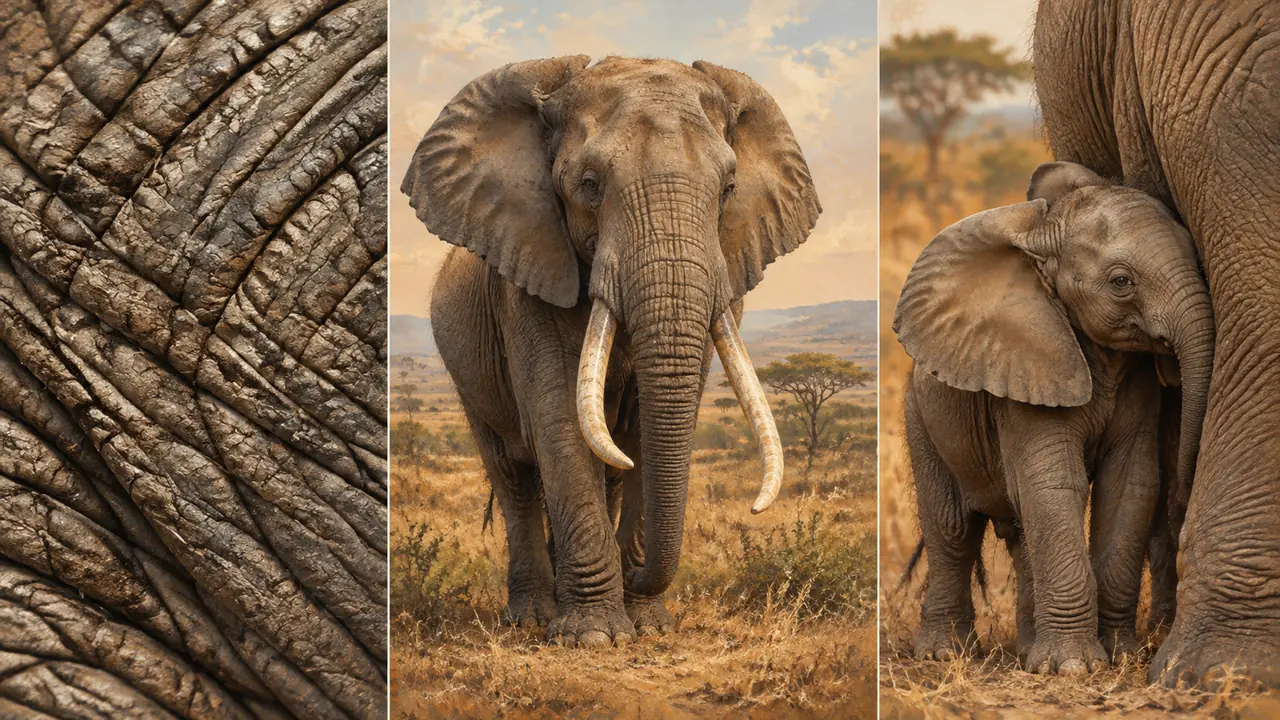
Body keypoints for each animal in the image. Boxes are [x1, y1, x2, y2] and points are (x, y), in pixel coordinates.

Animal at [402, 56, 819, 647]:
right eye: (589, 186)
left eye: (729, 188)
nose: (636, 576)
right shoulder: (525, 279)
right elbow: (560, 419)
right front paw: (593, 636)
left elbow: (653, 424)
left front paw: (645, 624)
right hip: (464, 374)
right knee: (514, 478)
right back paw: (532, 616)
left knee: (609, 473)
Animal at [893, 162, 1214, 675]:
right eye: (1121, 282)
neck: (1043, 237)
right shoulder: (1027, 368)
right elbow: (1054, 484)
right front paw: (1074, 667)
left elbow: (1129, 486)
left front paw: (1119, 654)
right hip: (921, 416)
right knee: (952, 528)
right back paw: (946, 654)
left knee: (1021, 532)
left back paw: (1028, 653)